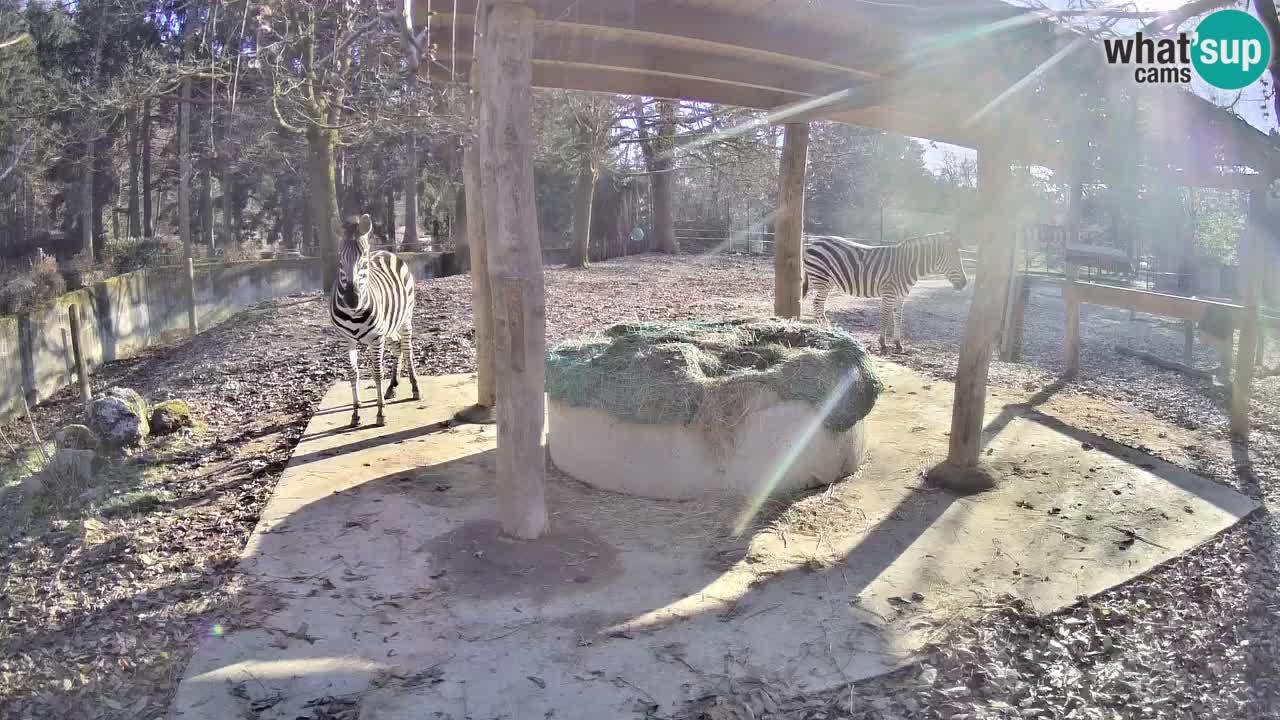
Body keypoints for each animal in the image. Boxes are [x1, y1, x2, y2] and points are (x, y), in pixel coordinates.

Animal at [330, 212, 419, 425]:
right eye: (339, 259)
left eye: (363, 258)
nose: (351, 299)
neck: (354, 313)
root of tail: (386, 252)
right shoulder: (345, 340)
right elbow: (353, 374)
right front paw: (355, 413)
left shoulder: (376, 338)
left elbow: (377, 373)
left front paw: (380, 413)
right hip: (390, 327)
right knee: (397, 347)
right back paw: (393, 386)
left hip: (405, 319)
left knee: (407, 348)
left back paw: (414, 388)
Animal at [798, 230, 967, 351]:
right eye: (954, 261)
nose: (965, 284)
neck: (908, 266)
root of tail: (813, 243)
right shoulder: (889, 293)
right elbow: (885, 317)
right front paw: (883, 344)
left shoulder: (901, 296)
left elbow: (898, 317)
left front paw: (898, 344)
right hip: (821, 278)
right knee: (817, 304)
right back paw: (826, 330)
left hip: (823, 280)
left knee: (818, 304)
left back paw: (826, 330)